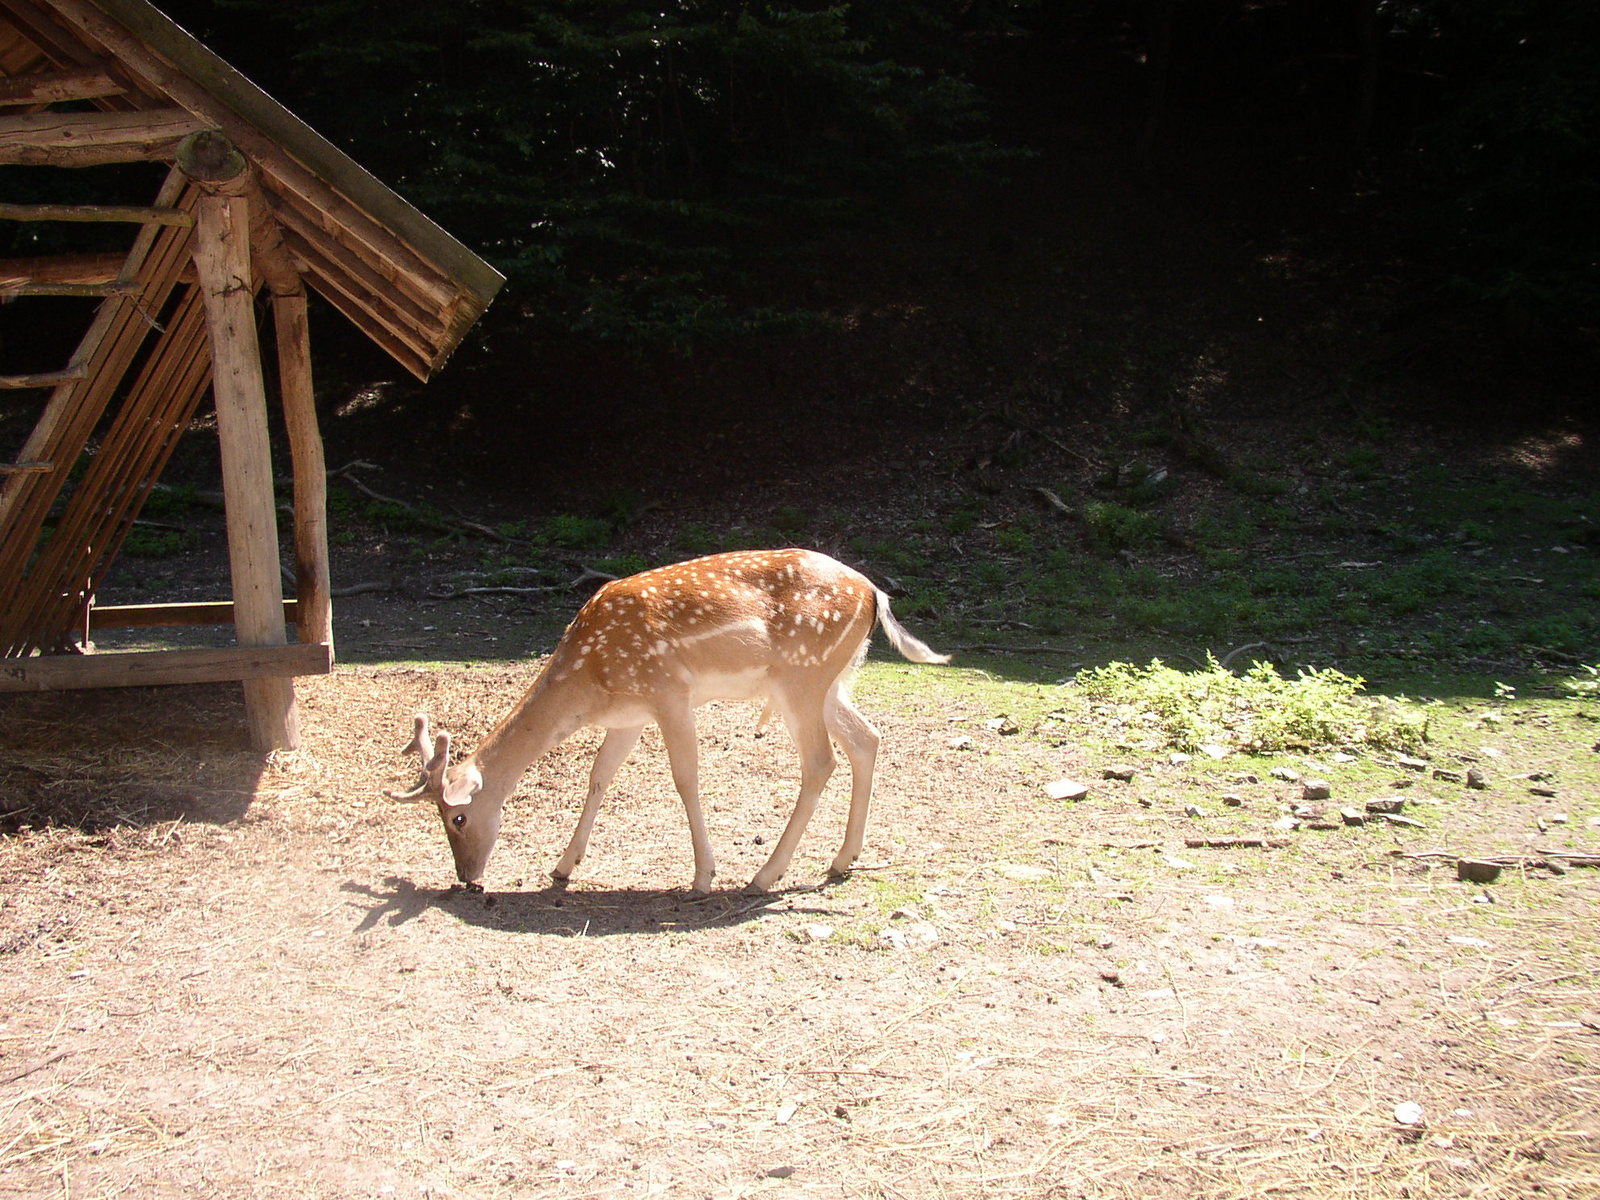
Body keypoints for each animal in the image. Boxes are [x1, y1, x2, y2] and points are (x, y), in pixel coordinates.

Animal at [384, 550, 947, 896]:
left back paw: (764, 875)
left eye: (456, 818)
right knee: (866, 739)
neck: (590, 679)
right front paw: (563, 866)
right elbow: (599, 777)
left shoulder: (668, 693)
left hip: (801, 677)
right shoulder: (628, 717)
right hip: (830, 681)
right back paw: (841, 860)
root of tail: (875, 593)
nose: (467, 877)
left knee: (821, 761)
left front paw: (703, 875)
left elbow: (685, 779)